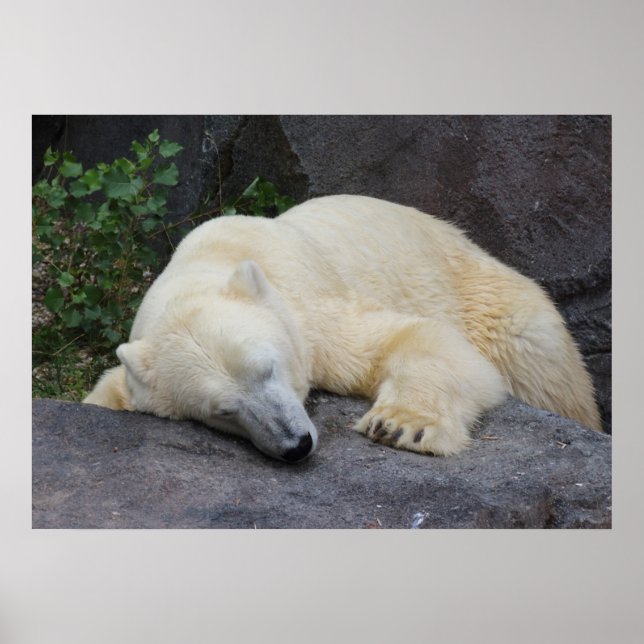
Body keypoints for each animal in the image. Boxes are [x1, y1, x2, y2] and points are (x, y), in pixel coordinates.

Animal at [84, 194, 601, 462]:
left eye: (267, 369)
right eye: (222, 410)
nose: (296, 445)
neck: (214, 258)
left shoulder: (312, 312)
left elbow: (415, 338)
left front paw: (399, 425)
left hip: (495, 300)